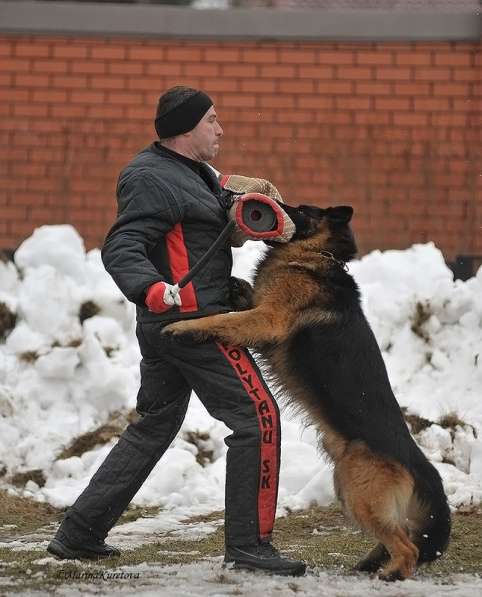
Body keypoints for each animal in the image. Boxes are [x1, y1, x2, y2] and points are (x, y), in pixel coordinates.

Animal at [165, 204, 452, 576]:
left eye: (302, 210)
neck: (315, 254)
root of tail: (421, 465)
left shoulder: (268, 319)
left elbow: (221, 320)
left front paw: (183, 326)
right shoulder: (262, 309)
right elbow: (241, 301)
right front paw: (234, 286)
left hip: (359, 492)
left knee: (408, 548)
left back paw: (390, 575)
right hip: (349, 489)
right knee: (400, 536)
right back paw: (372, 564)